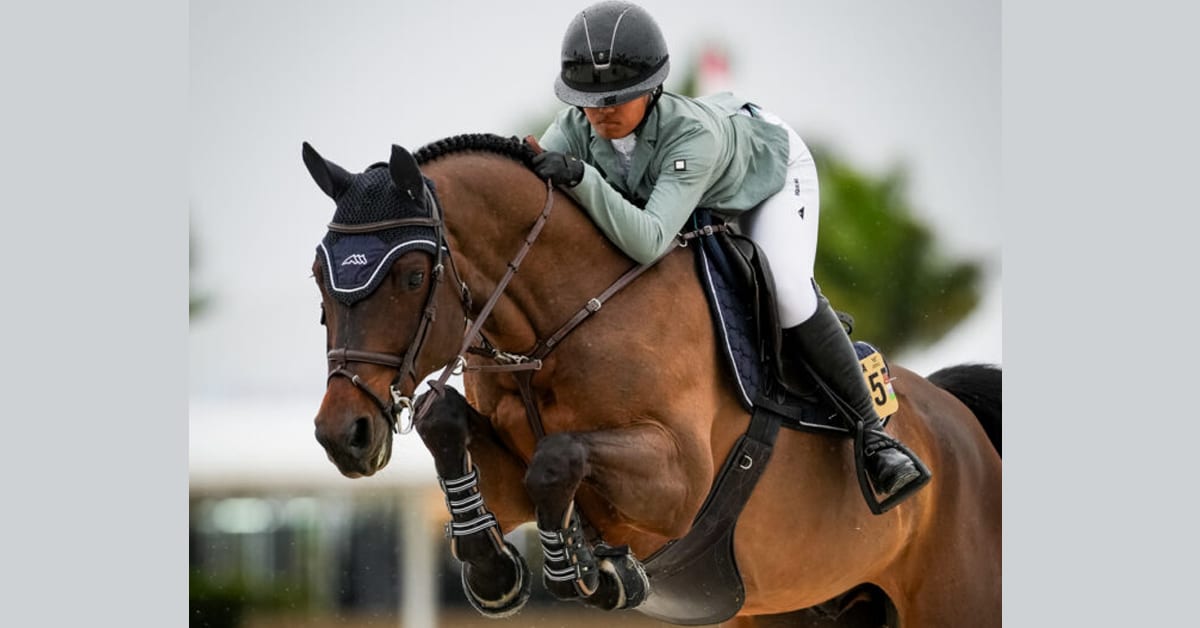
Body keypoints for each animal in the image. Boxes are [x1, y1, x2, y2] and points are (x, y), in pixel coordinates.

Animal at [304, 134, 1002, 627]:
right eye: (318, 274)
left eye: (411, 277)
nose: (344, 436)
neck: (555, 326)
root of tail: (961, 421)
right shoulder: (506, 473)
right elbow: (447, 425)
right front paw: (497, 573)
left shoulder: (680, 482)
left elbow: (559, 456)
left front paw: (584, 569)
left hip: (955, 598)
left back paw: (888, 459)